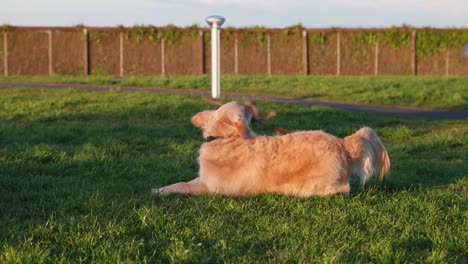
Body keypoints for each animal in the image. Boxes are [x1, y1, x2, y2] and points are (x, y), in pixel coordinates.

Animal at [152, 102, 390, 197]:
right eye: (245, 109)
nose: (253, 105)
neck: (225, 139)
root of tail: (343, 143)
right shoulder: (204, 179)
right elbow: (179, 182)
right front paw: (160, 189)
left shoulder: (211, 188)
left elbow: (183, 185)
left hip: (317, 185)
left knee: (343, 189)